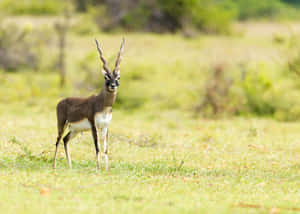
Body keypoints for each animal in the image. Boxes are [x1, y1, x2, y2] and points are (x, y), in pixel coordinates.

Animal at [53, 38, 125, 171]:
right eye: (106, 77)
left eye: (118, 77)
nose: (113, 85)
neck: (102, 105)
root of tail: (61, 102)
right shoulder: (93, 125)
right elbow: (97, 147)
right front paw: (98, 168)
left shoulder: (105, 126)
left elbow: (105, 149)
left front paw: (106, 169)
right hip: (62, 124)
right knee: (58, 140)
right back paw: (54, 166)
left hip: (75, 129)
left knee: (65, 140)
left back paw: (70, 166)